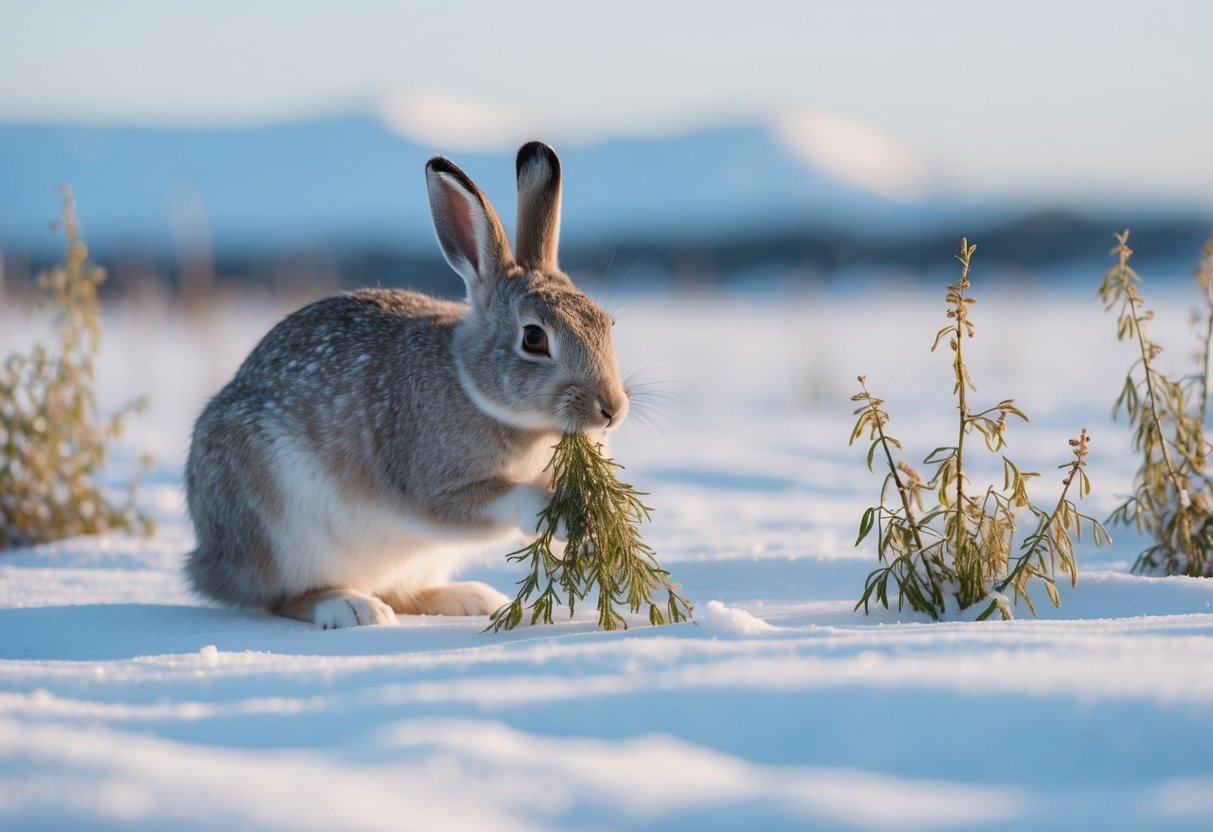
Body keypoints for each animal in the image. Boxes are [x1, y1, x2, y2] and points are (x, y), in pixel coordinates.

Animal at [185, 141, 629, 628]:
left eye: (606, 324)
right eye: (534, 338)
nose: (611, 409)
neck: (477, 388)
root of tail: (211, 564)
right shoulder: (432, 485)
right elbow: (502, 498)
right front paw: (564, 518)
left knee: (403, 593)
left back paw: (470, 599)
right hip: (282, 529)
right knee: (284, 597)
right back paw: (352, 607)